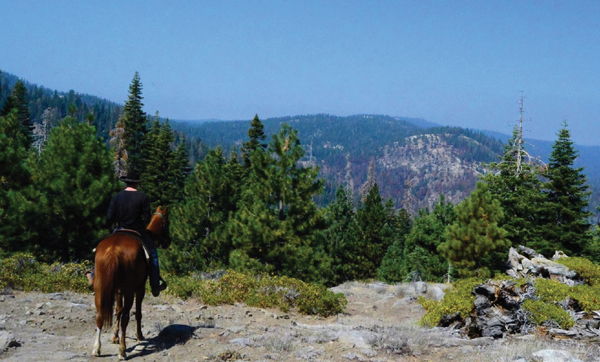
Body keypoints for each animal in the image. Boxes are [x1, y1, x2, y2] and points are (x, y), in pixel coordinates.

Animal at [92, 206, 171, 360]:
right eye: (167, 224)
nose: (168, 241)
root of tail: (114, 249)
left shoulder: (118, 290)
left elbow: (118, 309)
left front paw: (115, 337)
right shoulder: (139, 289)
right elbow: (137, 312)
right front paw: (139, 336)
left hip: (100, 288)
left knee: (100, 314)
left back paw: (97, 349)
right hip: (129, 291)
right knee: (126, 317)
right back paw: (122, 351)